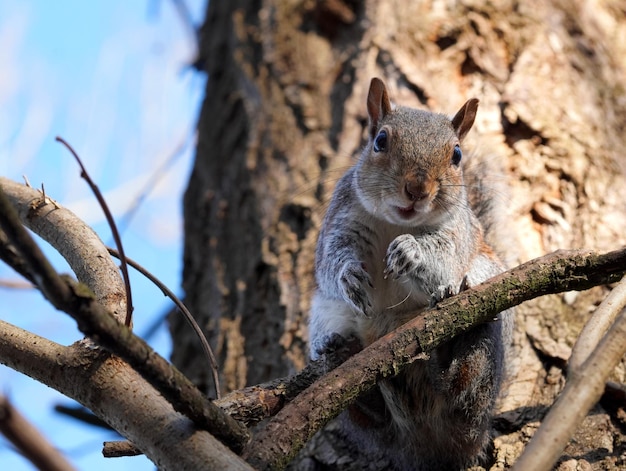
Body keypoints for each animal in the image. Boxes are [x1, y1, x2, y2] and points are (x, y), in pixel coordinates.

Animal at [308, 78, 512, 471]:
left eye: (457, 155)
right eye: (380, 140)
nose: (417, 189)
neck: (396, 222)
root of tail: (428, 445)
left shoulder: (456, 234)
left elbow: (443, 259)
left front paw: (410, 251)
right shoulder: (341, 222)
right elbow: (331, 263)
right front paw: (348, 276)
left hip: (490, 328)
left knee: (463, 385)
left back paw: (457, 343)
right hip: (325, 316)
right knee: (371, 418)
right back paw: (340, 355)